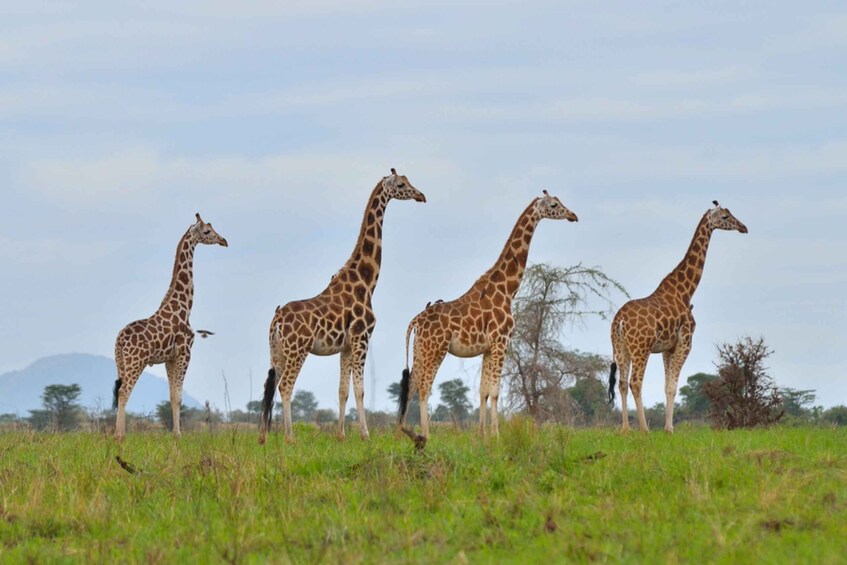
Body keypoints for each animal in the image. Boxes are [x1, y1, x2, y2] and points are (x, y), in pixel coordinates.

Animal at [112, 214, 229, 438]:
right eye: (207, 231)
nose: (224, 241)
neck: (184, 306)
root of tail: (119, 340)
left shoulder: (169, 358)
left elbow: (172, 395)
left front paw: (175, 434)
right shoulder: (185, 352)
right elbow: (178, 396)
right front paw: (178, 435)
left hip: (121, 363)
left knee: (120, 391)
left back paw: (117, 435)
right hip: (135, 362)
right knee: (124, 391)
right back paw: (120, 436)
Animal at [258, 170, 428, 442]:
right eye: (402, 185)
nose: (421, 196)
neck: (367, 283)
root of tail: (276, 320)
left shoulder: (346, 346)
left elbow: (343, 390)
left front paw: (341, 435)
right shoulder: (362, 338)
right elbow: (360, 390)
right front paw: (366, 435)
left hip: (277, 351)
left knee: (269, 386)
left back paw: (263, 437)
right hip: (298, 350)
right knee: (285, 386)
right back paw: (289, 437)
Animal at [400, 192, 580, 438]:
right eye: (554, 205)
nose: (573, 215)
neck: (507, 290)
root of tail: (416, 321)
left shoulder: (487, 348)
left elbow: (483, 391)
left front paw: (482, 434)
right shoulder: (501, 342)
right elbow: (494, 391)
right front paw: (496, 435)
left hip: (420, 350)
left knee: (411, 386)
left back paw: (402, 432)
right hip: (435, 349)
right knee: (424, 387)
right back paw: (426, 434)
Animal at [608, 202, 748, 432]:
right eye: (725, 217)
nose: (743, 227)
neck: (685, 291)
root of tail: (619, 321)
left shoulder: (668, 348)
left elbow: (667, 386)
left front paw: (667, 427)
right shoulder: (685, 342)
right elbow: (673, 386)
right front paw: (669, 429)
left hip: (620, 348)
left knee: (621, 384)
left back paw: (626, 430)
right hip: (641, 348)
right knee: (635, 382)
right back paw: (644, 429)